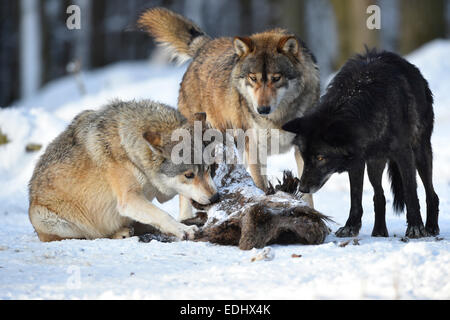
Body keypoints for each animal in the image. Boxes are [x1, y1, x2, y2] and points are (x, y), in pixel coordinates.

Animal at [28, 100, 218, 242]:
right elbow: (163, 215)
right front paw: (183, 229)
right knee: (91, 236)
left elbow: (181, 198)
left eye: (208, 169)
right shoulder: (129, 199)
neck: (129, 150)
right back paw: (120, 233)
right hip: (46, 218)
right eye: (189, 175)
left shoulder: (160, 192)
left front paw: (186, 218)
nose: (216, 197)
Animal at [138, 8, 320, 208]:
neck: (278, 118)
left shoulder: (300, 150)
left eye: (276, 78)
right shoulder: (255, 150)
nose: (262, 109)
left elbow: (307, 194)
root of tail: (205, 46)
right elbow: (262, 187)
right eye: (253, 78)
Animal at [284, 47, 440, 238]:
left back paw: (431, 227)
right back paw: (379, 231)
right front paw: (350, 226)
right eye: (304, 158)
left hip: (420, 152)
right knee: (379, 195)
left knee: (431, 193)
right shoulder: (356, 161)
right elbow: (355, 196)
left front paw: (416, 226)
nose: (303, 189)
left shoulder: (403, 154)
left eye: (320, 158)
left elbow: (410, 192)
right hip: (374, 164)